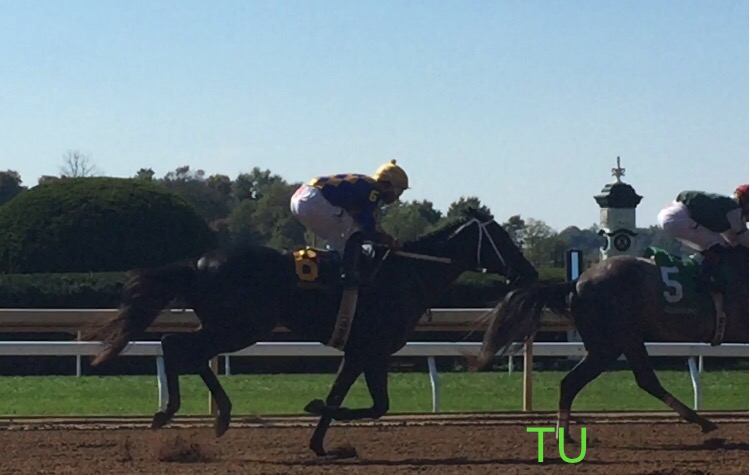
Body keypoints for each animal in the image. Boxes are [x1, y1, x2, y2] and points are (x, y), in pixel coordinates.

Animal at [88, 210, 536, 456]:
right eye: (501, 238)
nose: (528, 271)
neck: (407, 273)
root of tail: (196, 263)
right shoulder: (367, 350)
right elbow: (359, 403)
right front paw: (317, 416)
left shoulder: (369, 353)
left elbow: (369, 403)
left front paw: (320, 442)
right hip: (240, 326)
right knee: (180, 346)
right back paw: (184, 411)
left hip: (228, 325)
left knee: (177, 346)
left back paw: (200, 413)